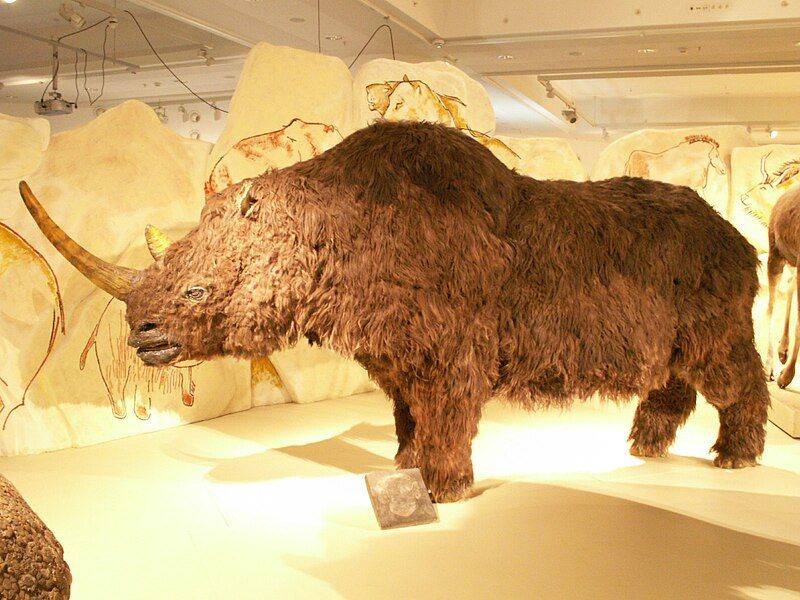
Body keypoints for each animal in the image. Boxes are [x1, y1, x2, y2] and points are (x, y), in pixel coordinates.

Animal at [19, 120, 769, 502]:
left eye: (196, 294)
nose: (141, 335)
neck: (324, 222)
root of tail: (739, 240)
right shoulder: (396, 351)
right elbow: (409, 415)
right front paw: (404, 468)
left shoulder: (453, 347)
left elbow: (446, 414)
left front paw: (442, 489)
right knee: (673, 367)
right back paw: (644, 447)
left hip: (717, 300)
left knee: (725, 370)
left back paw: (734, 461)